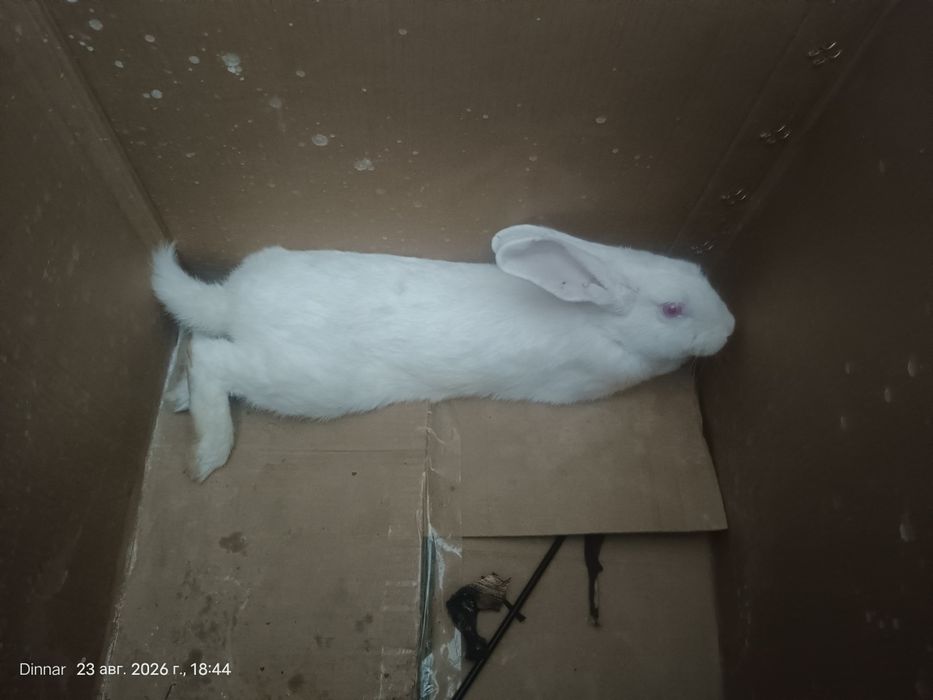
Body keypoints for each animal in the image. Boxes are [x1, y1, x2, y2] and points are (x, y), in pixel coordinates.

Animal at [152, 224, 735, 482]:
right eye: (673, 310)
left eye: (701, 273)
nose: (729, 329)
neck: (596, 320)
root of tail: (234, 303)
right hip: (304, 380)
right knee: (209, 356)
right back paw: (206, 455)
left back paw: (177, 398)